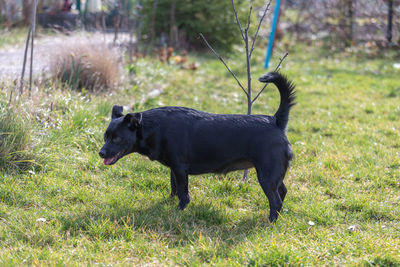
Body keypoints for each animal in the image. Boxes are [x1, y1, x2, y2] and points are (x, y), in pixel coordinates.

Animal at [98, 72, 296, 223]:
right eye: (105, 137)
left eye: (116, 138)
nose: (100, 153)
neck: (153, 127)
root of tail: (275, 121)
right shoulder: (174, 168)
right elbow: (174, 189)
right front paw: (167, 204)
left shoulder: (180, 168)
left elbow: (183, 193)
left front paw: (179, 211)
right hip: (273, 174)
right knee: (283, 191)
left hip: (266, 175)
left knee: (276, 201)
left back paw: (270, 222)